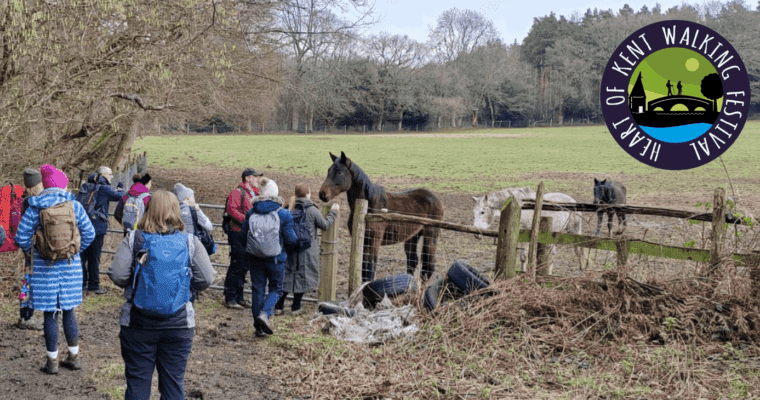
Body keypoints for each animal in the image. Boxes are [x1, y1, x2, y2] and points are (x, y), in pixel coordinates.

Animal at [319, 152, 445, 283]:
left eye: (339, 172)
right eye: (328, 170)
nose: (322, 194)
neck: (370, 205)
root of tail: (437, 199)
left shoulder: (374, 241)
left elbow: (369, 269)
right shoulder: (364, 241)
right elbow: (364, 268)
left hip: (431, 234)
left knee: (428, 266)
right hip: (413, 236)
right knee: (413, 261)